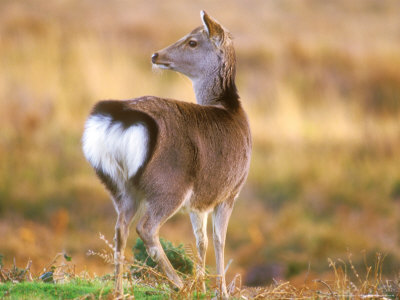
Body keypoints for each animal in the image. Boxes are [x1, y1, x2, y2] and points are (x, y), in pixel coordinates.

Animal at [81, 9, 250, 298]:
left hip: (119, 185)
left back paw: (120, 290)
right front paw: (220, 291)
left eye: (192, 42)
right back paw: (179, 285)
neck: (232, 110)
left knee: (120, 228)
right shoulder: (230, 191)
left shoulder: (199, 201)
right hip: (168, 184)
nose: (155, 55)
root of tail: (120, 120)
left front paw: (202, 285)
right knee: (146, 228)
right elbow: (219, 240)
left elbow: (202, 240)